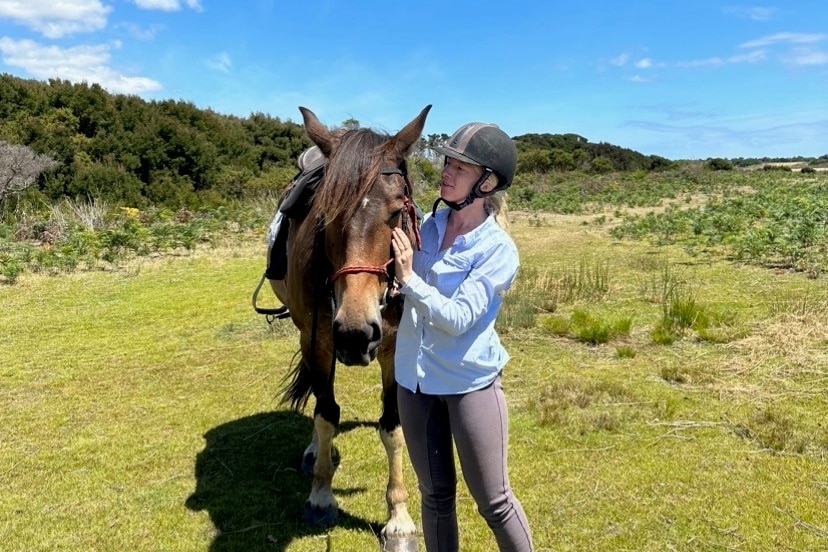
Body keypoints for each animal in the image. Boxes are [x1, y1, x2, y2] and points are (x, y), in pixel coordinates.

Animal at [270, 105, 434, 548]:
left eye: (396, 212)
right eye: (324, 215)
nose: (356, 334)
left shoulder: (391, 347)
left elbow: (392, 427)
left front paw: (399, 518)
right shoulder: (320, 341)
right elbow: (326, 413)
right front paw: (320, 497)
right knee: (317, 395)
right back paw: (315, 454)